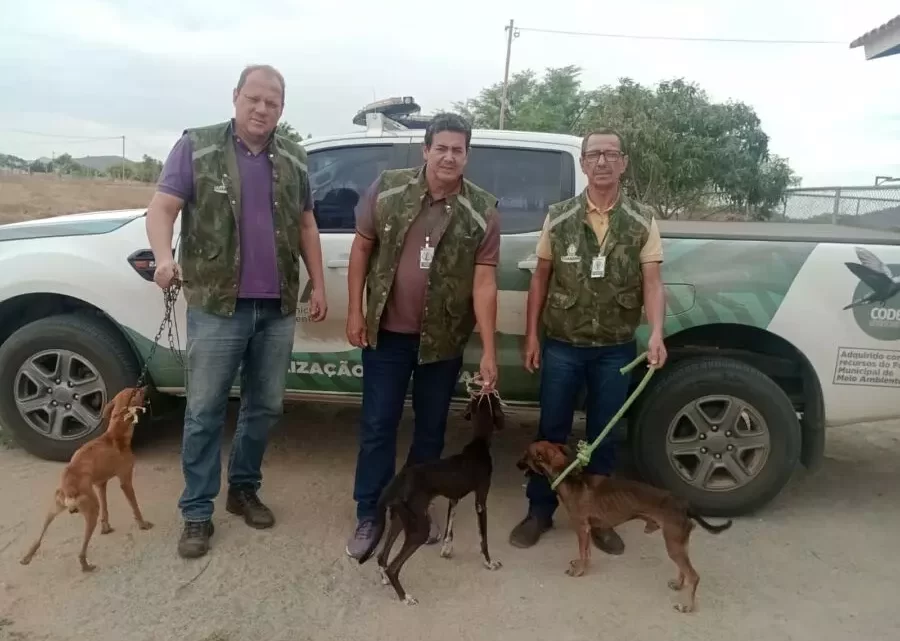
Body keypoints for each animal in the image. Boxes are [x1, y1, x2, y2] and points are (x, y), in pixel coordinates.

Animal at [20, 384, 153, 568]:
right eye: (135, 391)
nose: (146, 385)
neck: (115, 434)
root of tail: (69, 489)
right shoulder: (125, 481)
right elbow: (135, 507)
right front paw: (142, 524)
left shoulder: (100, 484)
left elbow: (105, 509)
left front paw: (106, 527)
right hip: (90, 512)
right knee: (81, 550)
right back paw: (85, 566)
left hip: (54, 509)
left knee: (38, 538)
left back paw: (27, 556)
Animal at [356, 388, 502, 604]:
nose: (489, 388)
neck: (479, 444)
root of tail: (396, 482)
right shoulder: (480, 501)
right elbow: (483, 538)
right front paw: (489, 562)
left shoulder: (453, 498)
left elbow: (450, 528)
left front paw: (447, 550)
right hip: (419, 529)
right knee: (394, 566)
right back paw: (404, 596)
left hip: (401, 519)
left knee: (382, 556)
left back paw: (385, 578)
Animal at [516, 440, 736, 608]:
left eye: (526, 455)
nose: (517, 464)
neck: (569, 477)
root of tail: (684, 504)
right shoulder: (586, 530)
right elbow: (586, 552)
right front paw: (582, 566)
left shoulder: (581, 528)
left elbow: (583, 552)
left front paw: (579, 571)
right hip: (680, 543)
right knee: (685, 570)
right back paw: (679, 585)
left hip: (673, 544)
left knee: (694, 576)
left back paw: (688, 606)